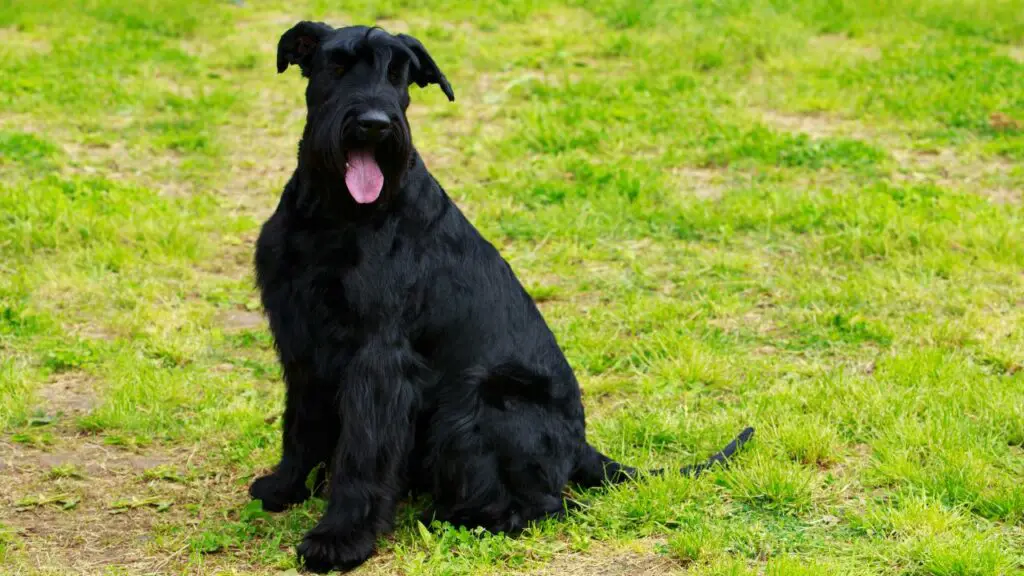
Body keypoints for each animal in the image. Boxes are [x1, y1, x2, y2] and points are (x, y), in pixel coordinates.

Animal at [249, 22, 753, 569]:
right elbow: (300, 422)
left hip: (482, 404)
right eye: (338, 65)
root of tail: (582, 448)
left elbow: (363, 453)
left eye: (398, 73)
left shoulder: (378, 359)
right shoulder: (300, 339)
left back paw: (454, 517)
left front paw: (340, 538)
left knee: (544, 505)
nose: (376, 126)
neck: (334, 212)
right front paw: (285, 487)